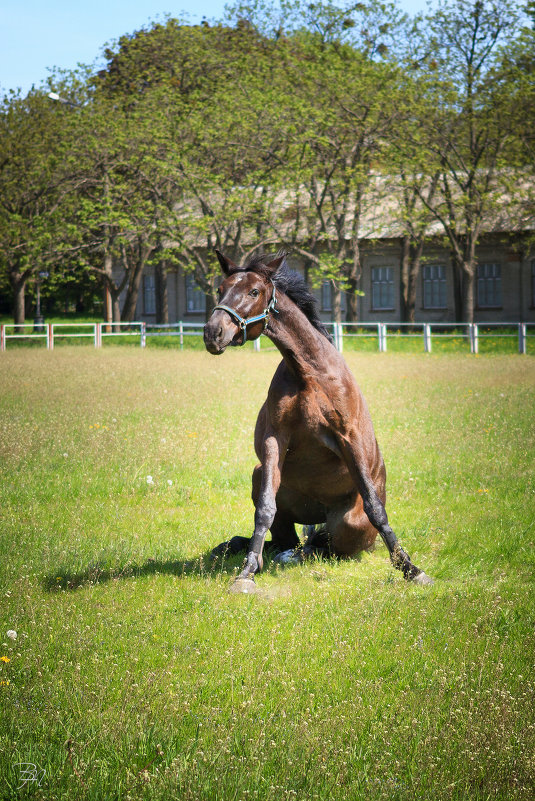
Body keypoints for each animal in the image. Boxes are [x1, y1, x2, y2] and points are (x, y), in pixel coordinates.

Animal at [203, 252, 434, 592]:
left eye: (254, 292)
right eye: (220, 289)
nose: (212, 333)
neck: (309, 373)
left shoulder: (349, 438)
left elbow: (375, 507)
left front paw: (410, 569)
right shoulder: (275, 439)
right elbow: (265, 509)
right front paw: (246, 573)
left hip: (347, 526)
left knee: (322, 546)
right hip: (260, 475)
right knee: (289, 541)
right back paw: (245, 550)